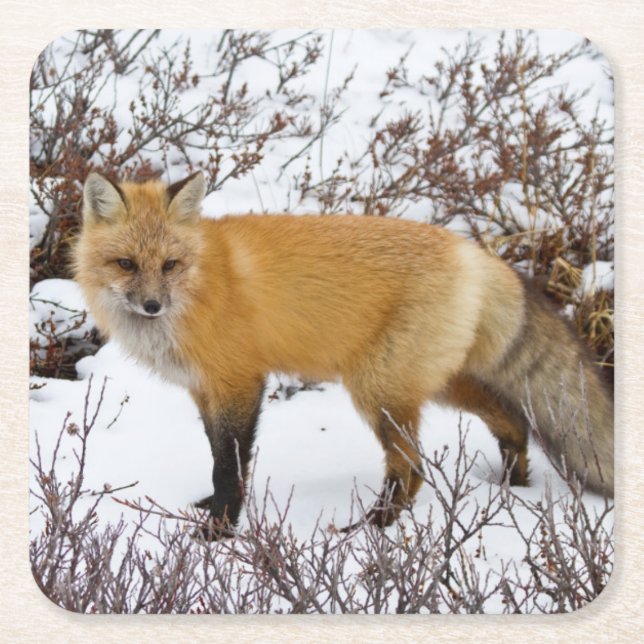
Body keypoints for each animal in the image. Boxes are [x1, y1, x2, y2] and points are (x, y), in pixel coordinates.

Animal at [73, 171, 614, 539]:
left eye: (170, 265)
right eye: (125, 264)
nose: (151, 305)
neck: (201, 285)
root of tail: (472, 251)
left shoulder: (239, 382)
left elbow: (229, 464)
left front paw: (221, 530)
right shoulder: (204, 391)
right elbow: (217, 456)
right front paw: (212, 510)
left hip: (378, 390)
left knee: (411, 468)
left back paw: (373, 528)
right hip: (432, 383)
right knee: (510, 420)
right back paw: (511, 486)